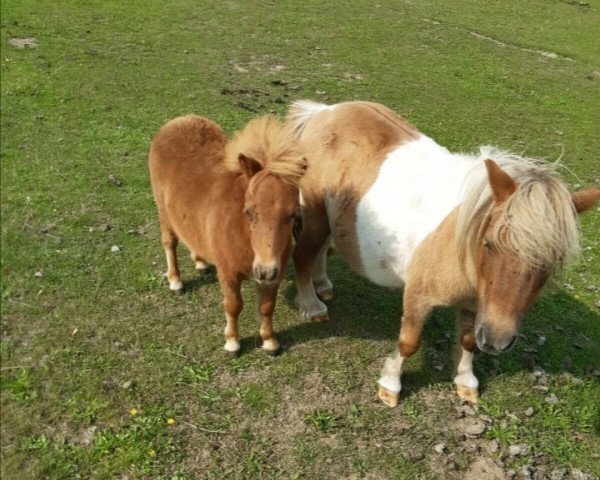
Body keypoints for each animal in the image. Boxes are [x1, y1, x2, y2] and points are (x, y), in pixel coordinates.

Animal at [149, 115, 308, 356]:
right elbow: (233, 306)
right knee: (170, 243)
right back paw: (176, 282)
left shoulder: (275, 274)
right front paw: (232, 343)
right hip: (162, 210)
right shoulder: (228, 273)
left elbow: (267, 306)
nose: (264, 270)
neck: (244, 236)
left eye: (293, 215)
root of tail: (178, 121)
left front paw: (270, 341)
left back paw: (201, 262)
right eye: (249, 211)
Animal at [288, 100, 596, 404]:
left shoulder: (476, 305)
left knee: (320, 250)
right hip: (314, 213)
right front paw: (390, 385)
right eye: (489, 244)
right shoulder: (418, 297)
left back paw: (323, 285)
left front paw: (466, 382)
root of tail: (322, 111)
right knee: (304, 255)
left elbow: (468, 341)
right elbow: (409, 343)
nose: (496, 341)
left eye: (552, 262)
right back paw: (313, 306)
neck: (462, 247)